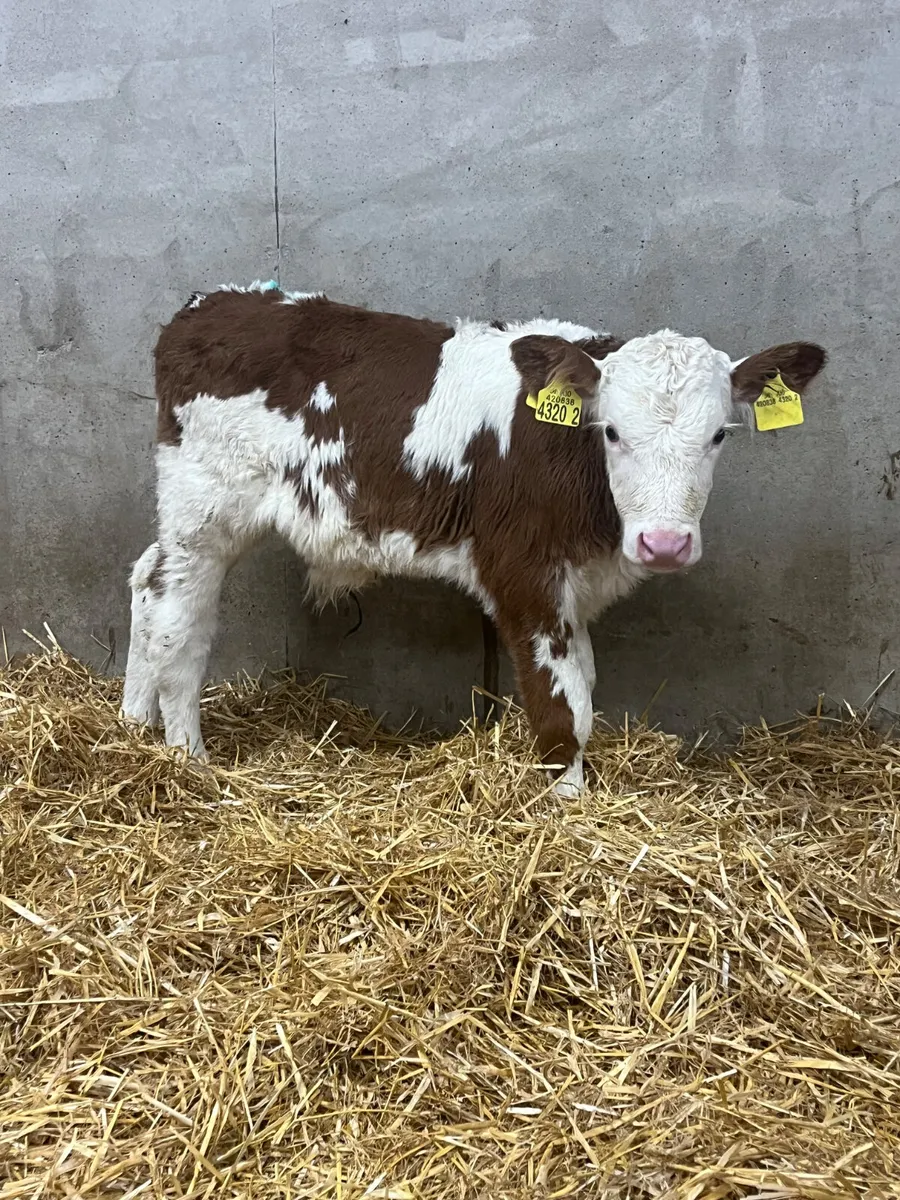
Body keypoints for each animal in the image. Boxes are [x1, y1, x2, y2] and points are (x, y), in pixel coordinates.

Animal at [122, 280, 826, 795]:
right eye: (612, 431)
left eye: (720, 435)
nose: (665, 544)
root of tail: (211, 303)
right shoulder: (523, 574)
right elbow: (562, 708)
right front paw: (568, 808)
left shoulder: (577, 586)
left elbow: (586, 682)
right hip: (204, 508)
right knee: (177, 618)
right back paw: (188, 759)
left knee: (144, 581)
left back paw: (132, 726)